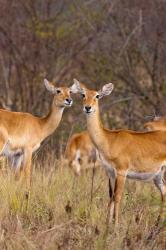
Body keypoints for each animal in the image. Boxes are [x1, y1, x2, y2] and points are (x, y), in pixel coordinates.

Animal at [72, 79, 166, 226]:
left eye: (97, 96)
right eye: (83, 95)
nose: (87, 107)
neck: (109, 140)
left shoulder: (122, 172)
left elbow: (117, 196)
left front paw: (116, 225)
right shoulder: (110, 172)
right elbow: (110, 196)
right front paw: (107, 224)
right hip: (158, 175)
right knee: (164, 191)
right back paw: (158, 224)